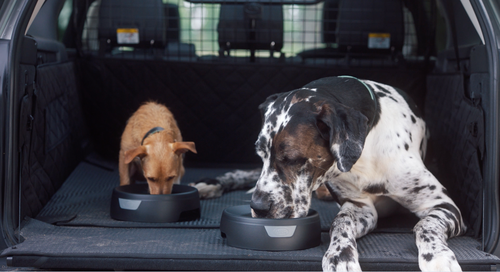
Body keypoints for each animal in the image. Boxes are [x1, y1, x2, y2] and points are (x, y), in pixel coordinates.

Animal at [191, 76, 464, 270]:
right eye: (260, 153)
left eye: (293, 159)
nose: (258, 208)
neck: (366, 150)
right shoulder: (360, 207)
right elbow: (339, 222)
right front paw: (339, 256)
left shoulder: (444, 205)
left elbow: (425, 225)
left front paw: (437, 257)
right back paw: (210, 184)